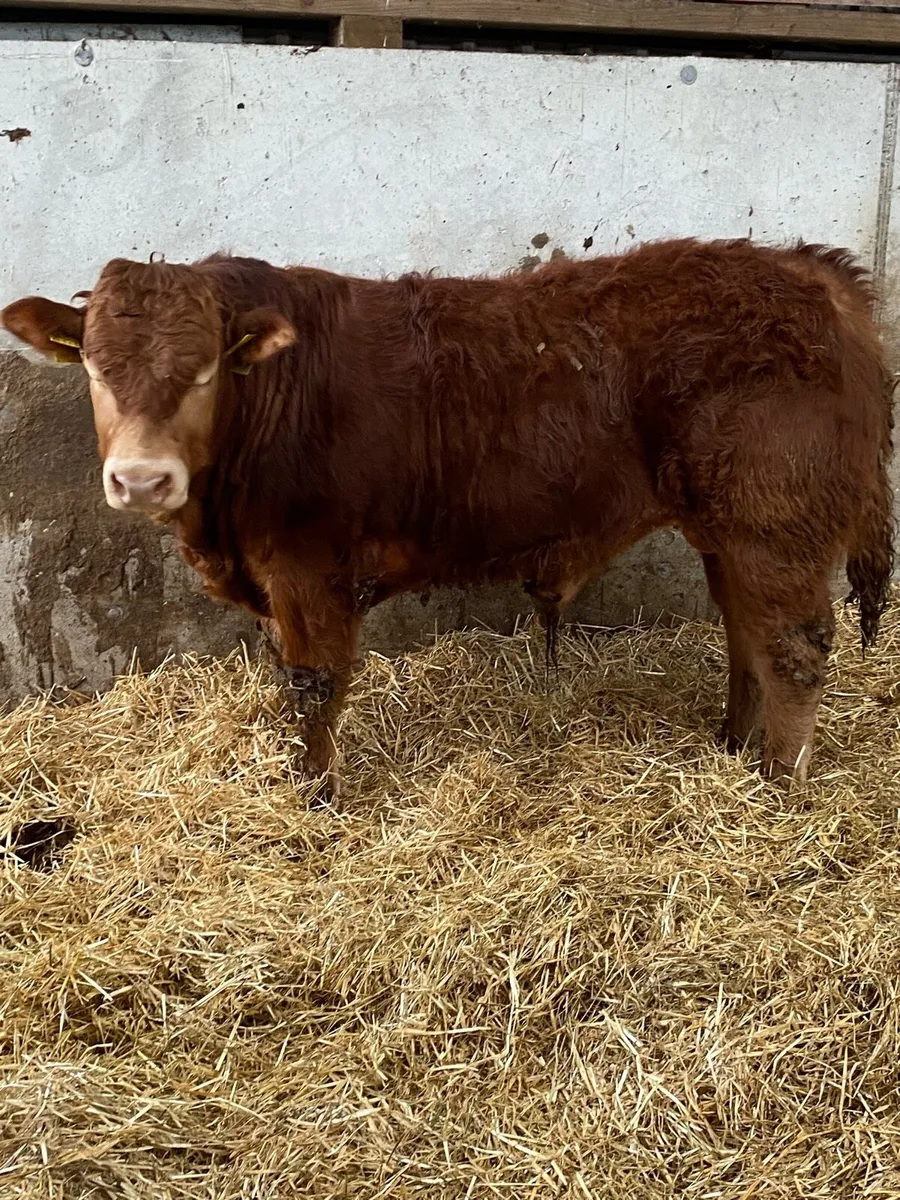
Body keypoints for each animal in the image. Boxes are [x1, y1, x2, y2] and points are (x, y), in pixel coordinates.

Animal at [2, 238, 894, 797]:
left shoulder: (308, 568)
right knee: (747, 633)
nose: (141, 479)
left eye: (203, 372)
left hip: (772, 521)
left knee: (795, 650)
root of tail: (809, 270)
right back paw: (734, 746)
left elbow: (313, 686)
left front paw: (312, 794)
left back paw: (778, 783)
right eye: (96, 368)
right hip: (730, 530)